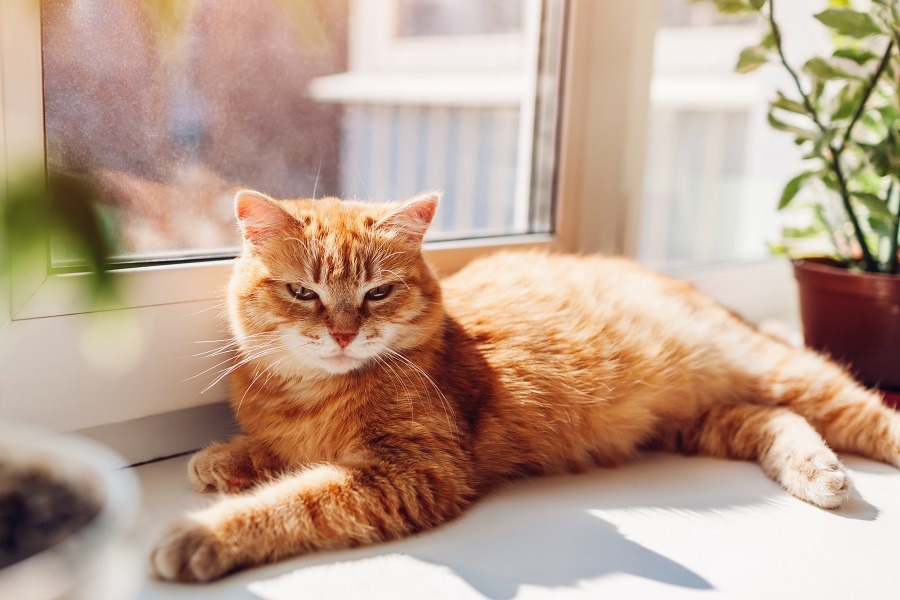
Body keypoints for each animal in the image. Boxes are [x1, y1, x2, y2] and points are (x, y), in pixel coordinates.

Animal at [151, 191, 896, 580]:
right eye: (303, 293)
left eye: (377, 292)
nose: (341, 333)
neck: (313, 395)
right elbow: (279, 453)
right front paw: (229, 457)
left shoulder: (412, 474)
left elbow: (296, 501)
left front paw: (205, 535)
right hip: (701, 420)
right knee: (776, 422)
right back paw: (817, 472)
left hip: (783, 371)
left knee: (865, 413)